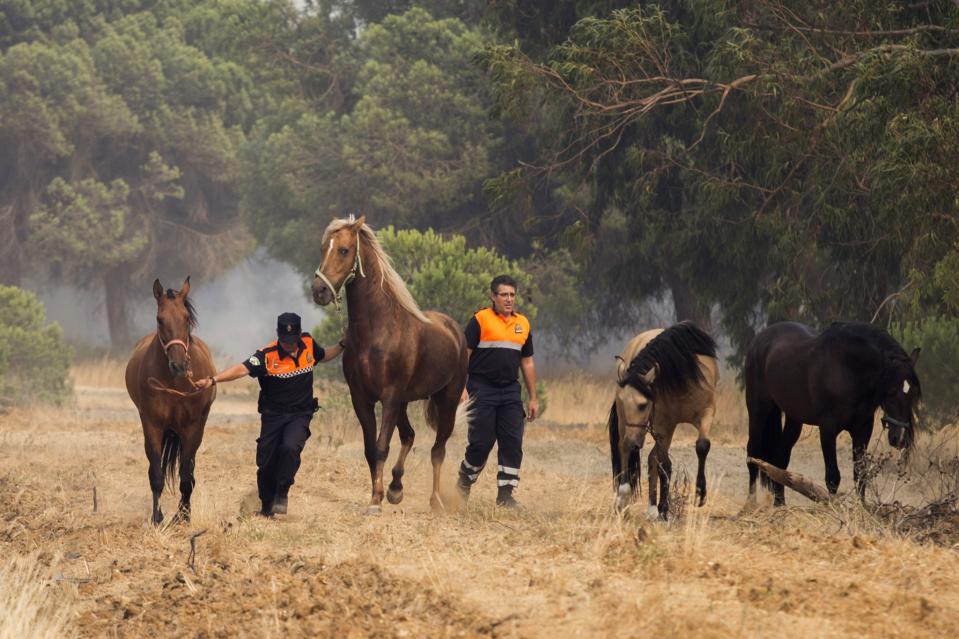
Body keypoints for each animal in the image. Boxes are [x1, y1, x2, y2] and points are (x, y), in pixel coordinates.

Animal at [124, 276, 215, 524]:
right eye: (159, 319)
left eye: (186, 318)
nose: (179, 365)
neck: (175, 385)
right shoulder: (153, 425)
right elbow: (156, 474)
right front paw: (157, 518)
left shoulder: (193, 429)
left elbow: (186, 476)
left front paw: (183, 517)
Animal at [312, 219, 468, 516]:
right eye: (323, 248)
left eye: (344, 250)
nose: (319, 291)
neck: (376, 330)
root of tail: (455, 330)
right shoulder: (362, 398)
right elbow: (370, 449)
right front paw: (379, 494)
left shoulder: (390, 397)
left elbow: (382, 446)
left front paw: (375, 501)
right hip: (405, 403)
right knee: (409, 436)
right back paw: (396, 489)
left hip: (447, 400)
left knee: (438, 450)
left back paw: (436, 501)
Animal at [608, 324, 720, 520]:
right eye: (622, 400)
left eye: (643, 405)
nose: (632, 442)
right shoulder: (662, 426)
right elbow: (662, 463)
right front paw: (662, 506)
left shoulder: (706, 412)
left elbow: (702, 445)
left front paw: (700, 492)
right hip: (632, 426)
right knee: (627, 451)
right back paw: (625, 498)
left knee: (653, 458)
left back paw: (653, 507)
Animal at [744, 320, 924, 504]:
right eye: (892, 392)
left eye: (915, 393)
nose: (900, 438)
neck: (847, 370)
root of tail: (759, 340)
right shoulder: (828, 429)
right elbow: (832, 477)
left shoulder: (863, 430)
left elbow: (860, 474)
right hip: (758, 410)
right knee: (753, 454)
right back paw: (751, 504)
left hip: (794, 419)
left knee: (780, 458)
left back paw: (780, 505)